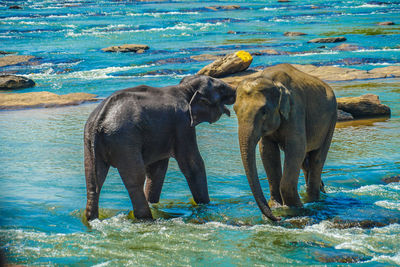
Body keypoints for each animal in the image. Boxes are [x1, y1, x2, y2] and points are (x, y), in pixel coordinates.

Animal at [84, 74, 234, 221]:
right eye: (221, 88)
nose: (235, 91)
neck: (185, 88)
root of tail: (100, 119)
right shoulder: (183, 124)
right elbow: (193, 165)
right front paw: (208, 206)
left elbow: (156, 170)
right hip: (124, 140)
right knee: (136, 179)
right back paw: (147, 219)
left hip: (90, 140)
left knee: (93, 180)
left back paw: (91, 219)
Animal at [233, 63, 336, 222]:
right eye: (234, 110)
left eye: (264, 111)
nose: (277, 219)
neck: (271, 80)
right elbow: (267, 151)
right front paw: (276, 206)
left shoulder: (296, 109)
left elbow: (296, 148)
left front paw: (295, 208)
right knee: (305, 162)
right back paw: (319, 190)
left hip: (332, 119)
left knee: (317, 159)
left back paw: (312, 200)